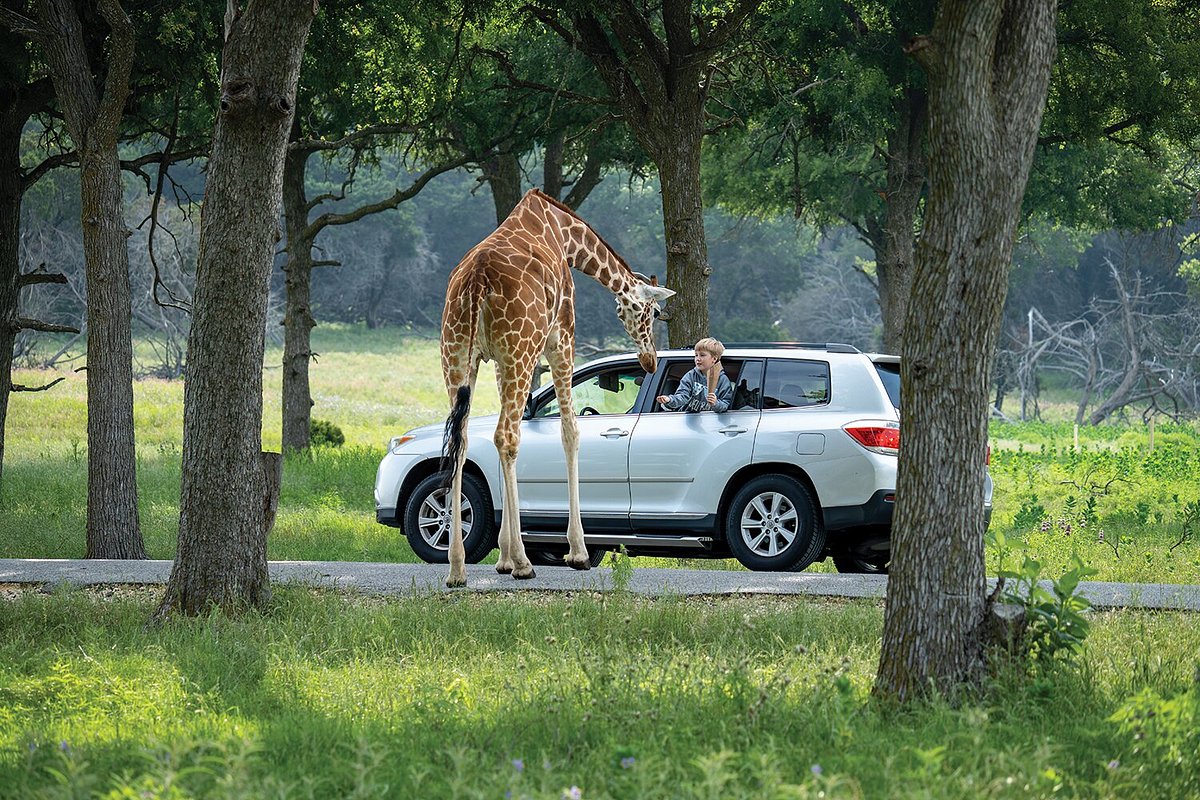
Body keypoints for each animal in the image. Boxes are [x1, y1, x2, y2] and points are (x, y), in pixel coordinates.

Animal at [439, 188, 672, 587]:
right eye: (653, 312)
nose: (649, 361)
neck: (565, 233)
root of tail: (476, 281)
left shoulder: (499, 360)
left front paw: (501, 558)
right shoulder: (561, 339)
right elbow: (570, 432)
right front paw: (577, 552)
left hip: (456, 356)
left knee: (463, 440)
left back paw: (457, 568)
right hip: (521, 348)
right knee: (505, 436)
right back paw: (523, 563)